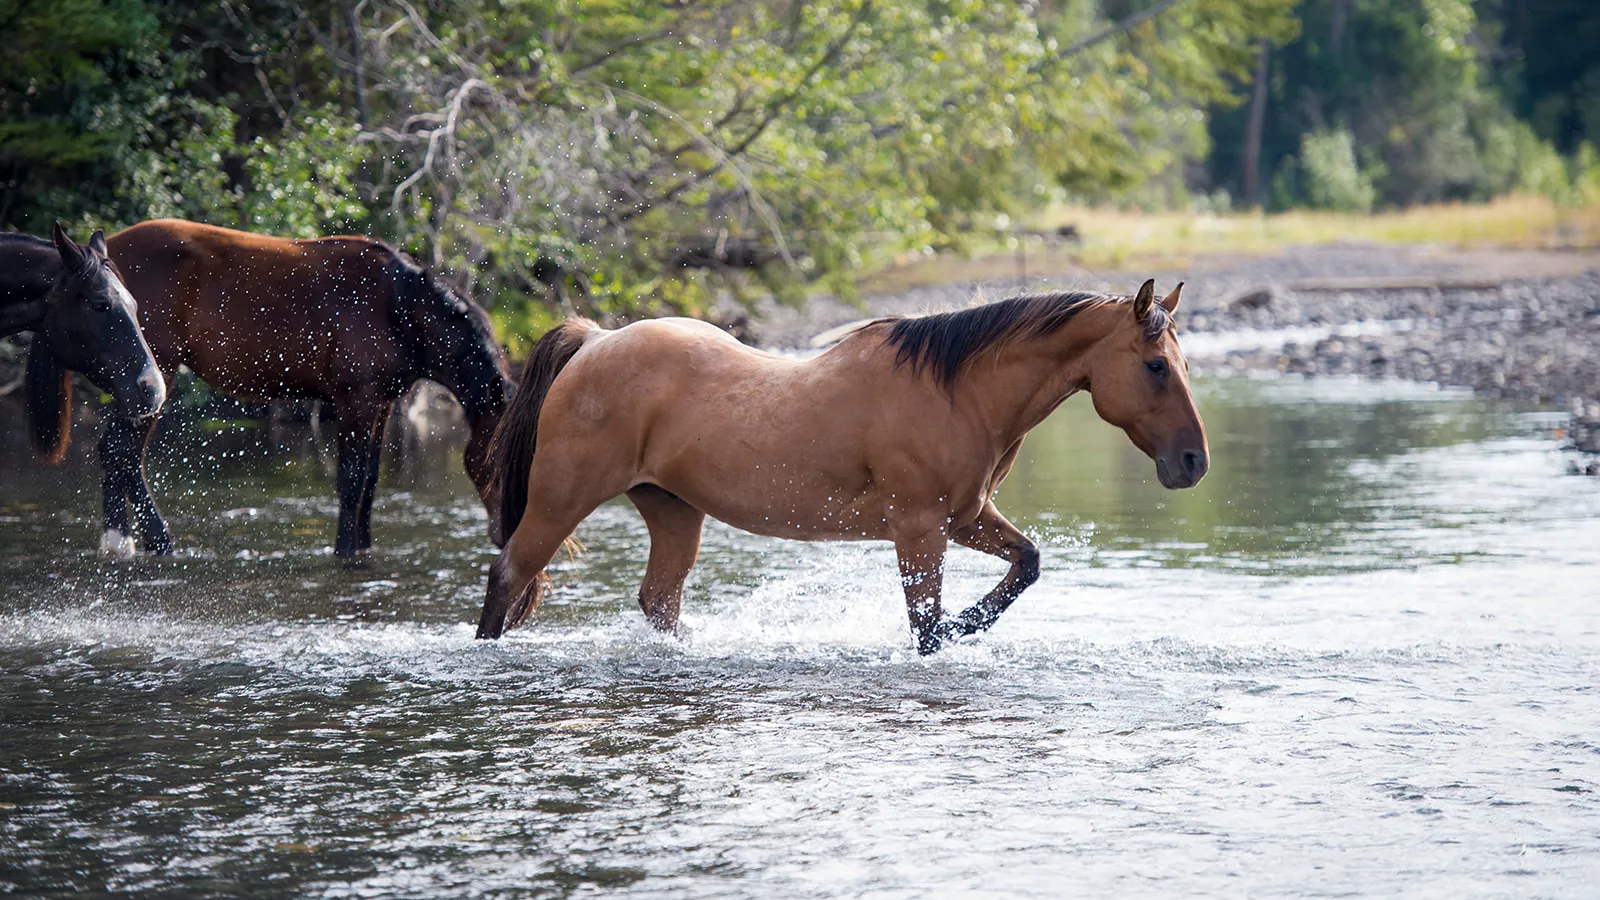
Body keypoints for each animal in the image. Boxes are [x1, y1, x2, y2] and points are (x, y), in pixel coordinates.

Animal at [100, 219, 512, 557]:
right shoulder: (356, 400)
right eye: (497, 462)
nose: (504, 535)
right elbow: (351, 479)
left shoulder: (381, 404)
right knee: (123, 453)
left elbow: (371, 480)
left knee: (117, 453)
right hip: (158, 373)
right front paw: (345, 552)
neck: (400, 309)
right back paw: (151, 542)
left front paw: (363, 547)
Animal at [480, 278, 1209, 654]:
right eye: (1155, 365)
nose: (1193, 462)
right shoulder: (920, 528)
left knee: (659, 600)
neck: (957, 390)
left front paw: (969, 624)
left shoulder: (966, 517)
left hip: (673, 510)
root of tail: (595, 341)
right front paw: (952, 631)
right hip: (562, 497)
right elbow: (925, 625)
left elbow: (1025, 564)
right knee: (510, 573)